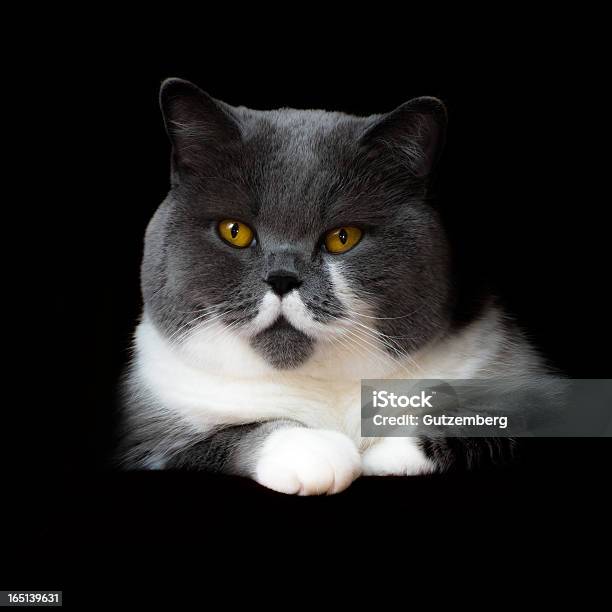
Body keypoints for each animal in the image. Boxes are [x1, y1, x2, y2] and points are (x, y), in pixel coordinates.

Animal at [118, 79, 544, 494]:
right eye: (234, 231)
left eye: (343, 237)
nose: (282, 278)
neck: (325, 386)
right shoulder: (145, 436)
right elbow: (218, 438)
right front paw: (313, 451)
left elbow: (497, 424)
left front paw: (380, 455)